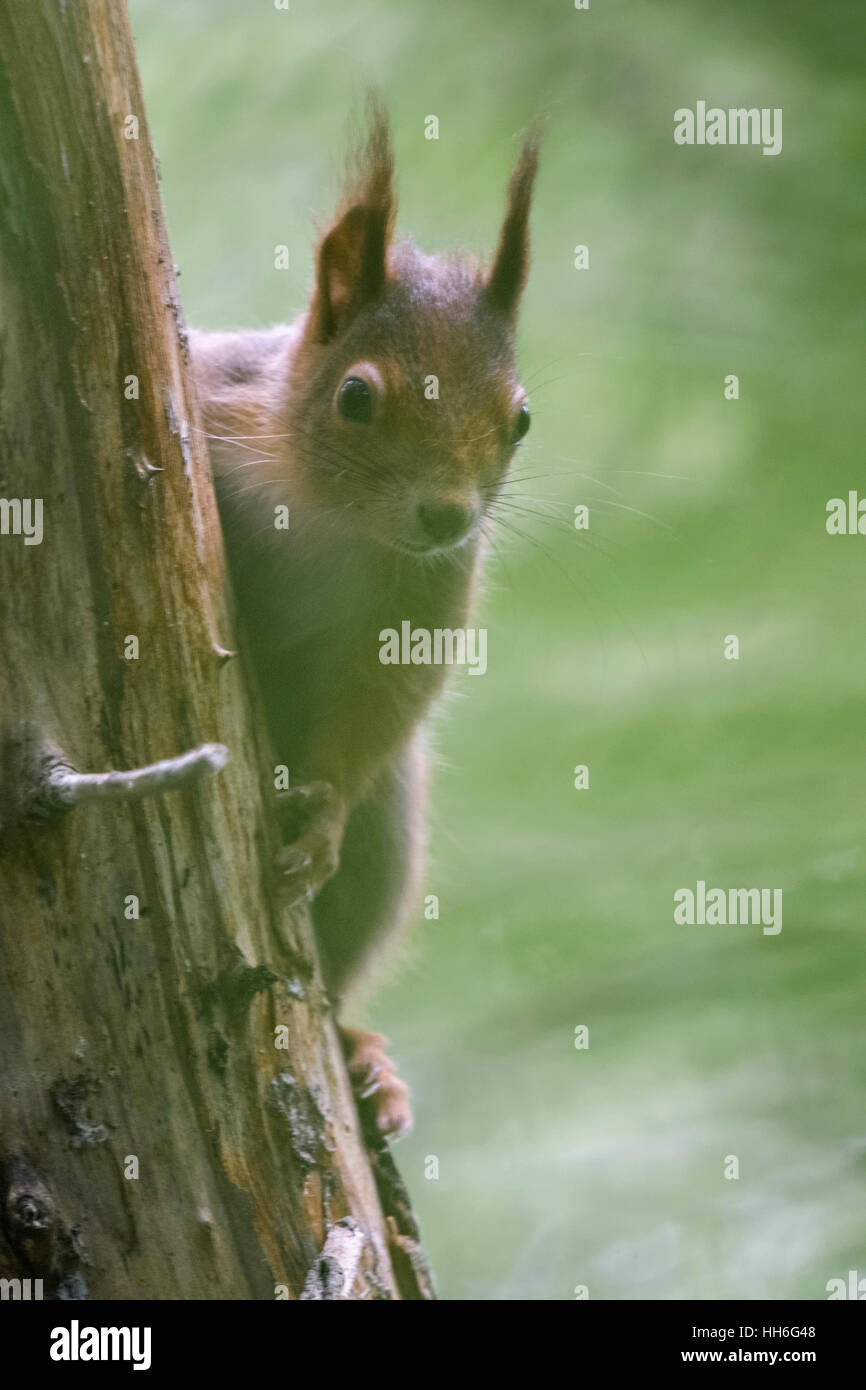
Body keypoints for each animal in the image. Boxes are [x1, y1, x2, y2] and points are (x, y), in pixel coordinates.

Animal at [193, 100, 539, 1139]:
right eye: (355, 396)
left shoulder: (433, 586)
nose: (447, 513)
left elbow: (389, 691)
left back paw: (360, 1055)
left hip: (391, 837)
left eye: (521, 420)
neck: (331, 512)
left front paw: (321, 816)